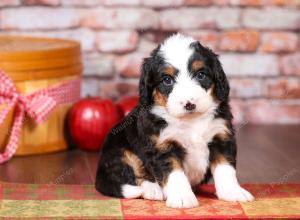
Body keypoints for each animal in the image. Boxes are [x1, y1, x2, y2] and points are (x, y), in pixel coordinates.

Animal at [95, 33, 253, 208]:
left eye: (201, 75)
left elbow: (225, 168)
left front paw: (233, 192)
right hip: (119, 150)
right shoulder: (163, 146)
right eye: (167, 80)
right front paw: (182, 197)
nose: (189, 104)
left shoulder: (221, 136)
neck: (191, 121)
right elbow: (175, 174)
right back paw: (153, 190)